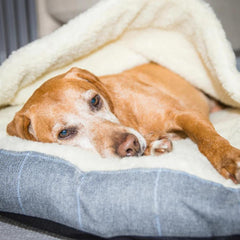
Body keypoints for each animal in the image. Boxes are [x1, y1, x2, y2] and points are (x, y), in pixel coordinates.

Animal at [6, 62, 240, 183]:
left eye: (95, 100)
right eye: (64, 133)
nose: (130, 145)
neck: (126, 115)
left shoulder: (186, 114)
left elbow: (207, 139)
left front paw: (229, 158)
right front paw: (154, 146)